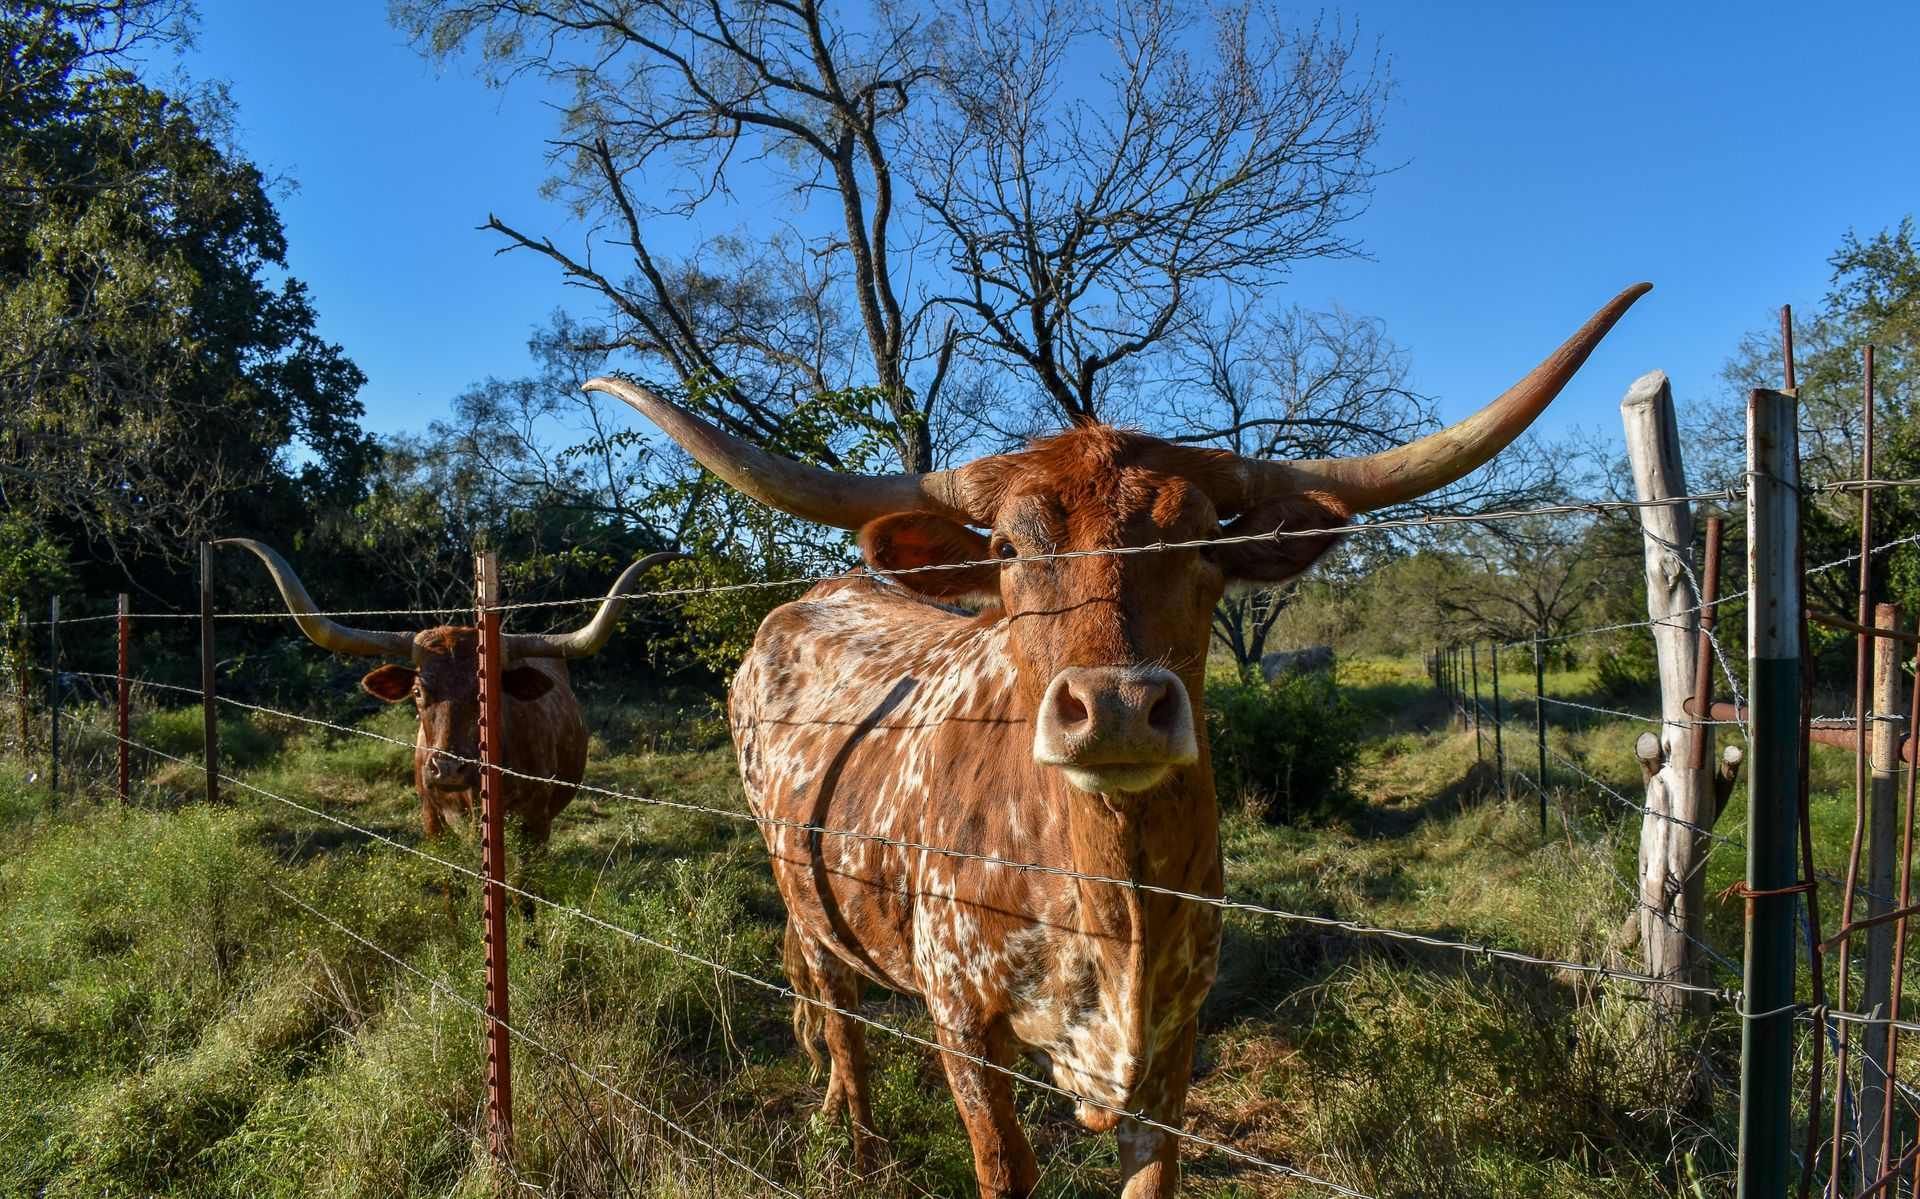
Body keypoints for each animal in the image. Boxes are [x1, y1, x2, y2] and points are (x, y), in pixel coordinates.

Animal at [585, 283, 1648, 1198]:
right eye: (1007, 548)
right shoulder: (961, 1018)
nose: (1119, 707)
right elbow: (1003, 1166)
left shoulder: (1174, 1041)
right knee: (837, 1012)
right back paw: (859, 1144)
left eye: (1207, 544)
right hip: (803, 892)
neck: (1114, 899)